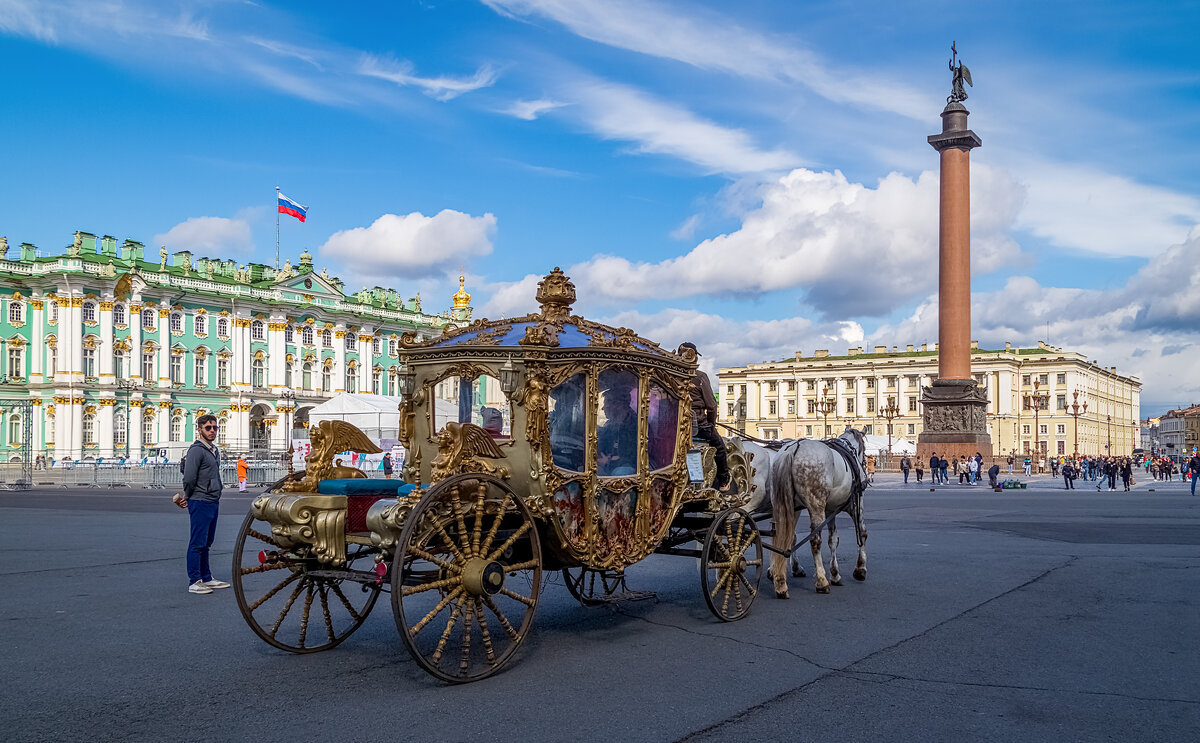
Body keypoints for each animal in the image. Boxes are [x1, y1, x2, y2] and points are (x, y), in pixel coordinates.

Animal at [768, 429, 873, 597]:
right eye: (864, 448)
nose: (865, 469)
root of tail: (793, 448)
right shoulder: (855, 505)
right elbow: (862, 533)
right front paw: (860, 569)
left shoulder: (830, 510)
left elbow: (833, 540)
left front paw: (835, 574)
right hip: (815, 506)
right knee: (815, 541)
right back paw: (822, 581)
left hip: (783, 504)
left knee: (784, 536)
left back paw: (780, 581)